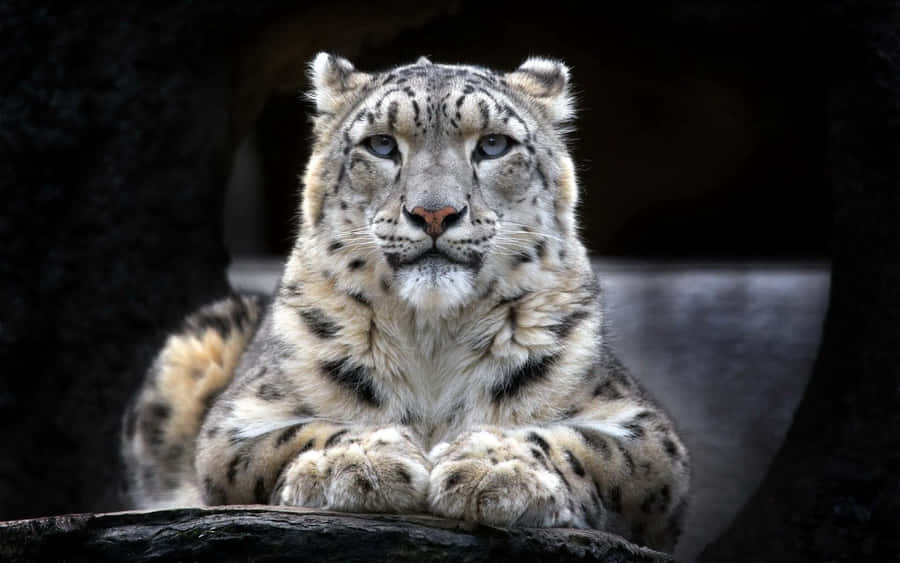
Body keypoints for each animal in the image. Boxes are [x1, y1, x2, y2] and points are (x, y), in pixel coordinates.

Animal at [121, 53, 690, 552]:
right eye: (380, 145)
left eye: (493, 145)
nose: (434, 213)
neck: (433, 338)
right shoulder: (238, 419)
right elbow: (293, 435)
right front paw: (359, 462)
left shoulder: (645, 430)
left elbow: (583, 444)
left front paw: (493, 466)